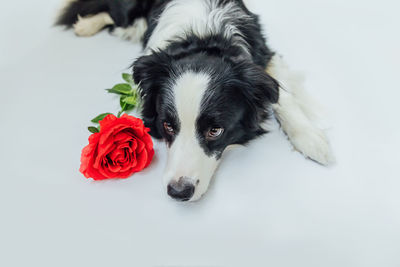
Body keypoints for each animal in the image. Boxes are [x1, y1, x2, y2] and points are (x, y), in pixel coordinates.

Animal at [57, 0, 334, 201]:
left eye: (215, 130)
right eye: (167, 125)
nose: (178, 192)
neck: (204, 37)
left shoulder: (265, 56)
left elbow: (282, 95)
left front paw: (311, 140)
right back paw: (86, 25)